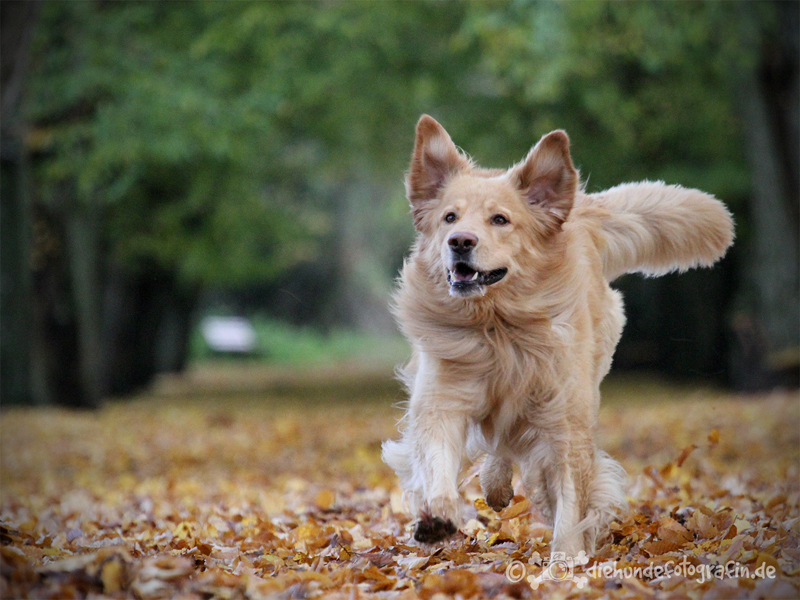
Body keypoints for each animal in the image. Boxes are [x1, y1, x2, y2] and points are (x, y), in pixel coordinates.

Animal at [384, 115, 736, 556]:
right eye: (449, 218)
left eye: (499, 220)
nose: (459, 242)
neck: (499, 330)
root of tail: (579, 207)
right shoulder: (442, 400)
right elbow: (436, 461)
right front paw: (438, 514)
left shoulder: (564, 418)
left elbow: (571, 497)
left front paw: (567, 560)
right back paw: (494, 485)